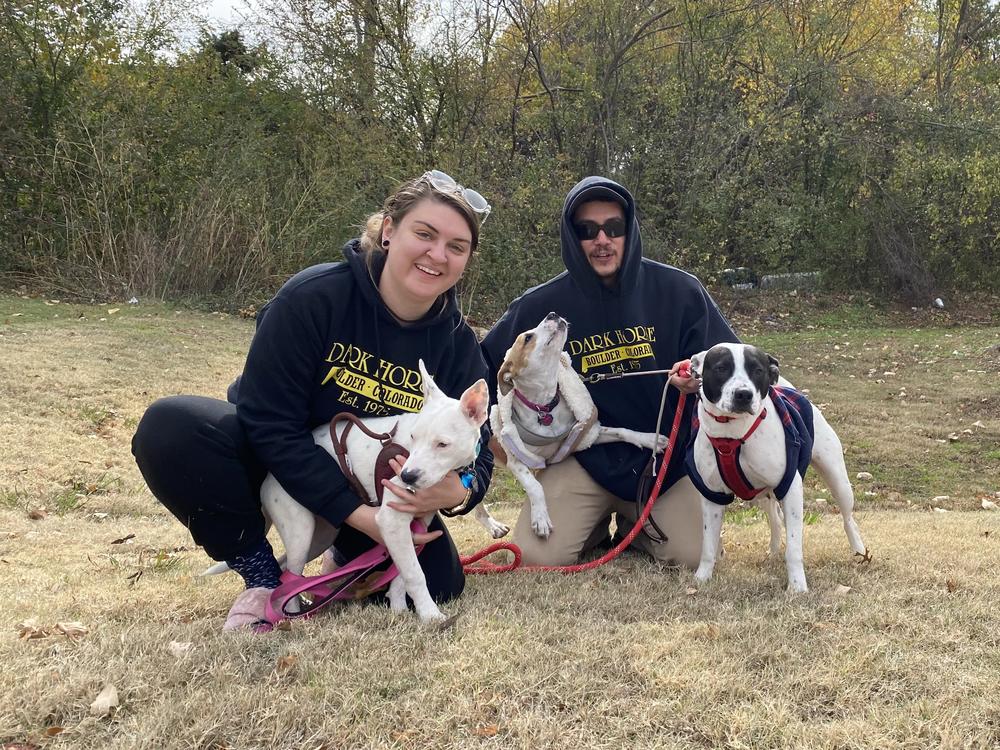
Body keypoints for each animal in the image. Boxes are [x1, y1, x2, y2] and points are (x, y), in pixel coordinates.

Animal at [208, 362, 488, 624]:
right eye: (413, 437)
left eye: (442, 444)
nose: (407, 476)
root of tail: (267, 478)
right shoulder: (391, 521)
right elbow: (414, 573)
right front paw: (430, 615)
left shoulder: (418, 523)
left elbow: (400, 573)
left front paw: (398, 608)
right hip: (300, 530)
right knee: (291, 575)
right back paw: (292, 616)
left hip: (321, 535)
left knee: (286, 568)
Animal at [490, 312, 668, 540]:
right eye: (528, 338)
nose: (552, 314)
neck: (544, 406)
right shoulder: (516, 460)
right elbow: (534, 485)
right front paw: (540, 518)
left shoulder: (587, 434)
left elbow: (622, 431)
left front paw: (649, 439)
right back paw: (493, 526)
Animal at [688, 344, 868, 596]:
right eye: (721, 368)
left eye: (758, 370)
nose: (743, 394)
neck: (732, 435)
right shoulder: (713, 496)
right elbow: (708, 545)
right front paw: (702, 579)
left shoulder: (790, 488)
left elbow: (794, 547)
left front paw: (798, 587)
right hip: (759, 493)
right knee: (774, 517)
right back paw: (773, 551)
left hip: (838, 481)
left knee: (848, 519)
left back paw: (859, 550)